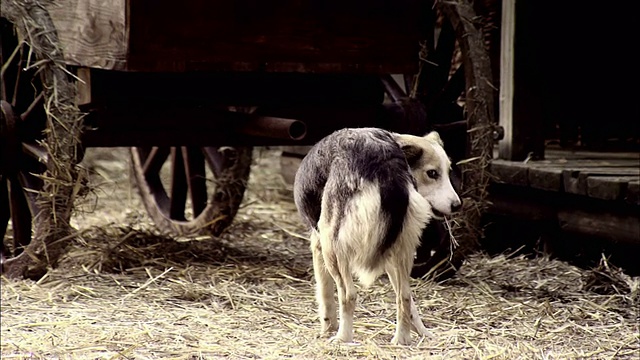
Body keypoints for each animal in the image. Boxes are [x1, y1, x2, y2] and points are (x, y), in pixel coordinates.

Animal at [296, 128, 460, 344]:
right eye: (433, 174)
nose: (458, 205)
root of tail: (385, 162)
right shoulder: (389, 252)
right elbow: (411, 305)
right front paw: (423, 332)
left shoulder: (318, 243)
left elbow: (325, 294)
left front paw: (327, 328)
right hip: (402, 249)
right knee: (404, 296)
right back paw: (401, 340)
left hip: (332, 244)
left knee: (348, 295)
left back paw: (342, 338)